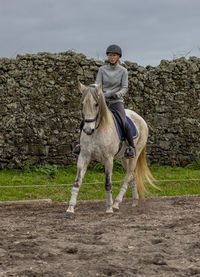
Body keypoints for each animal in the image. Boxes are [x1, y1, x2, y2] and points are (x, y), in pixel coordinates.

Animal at [66, 83, 159, 215]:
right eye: (82, 104)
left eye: (96, 104)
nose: (88, 130)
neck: (97, 130)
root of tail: (140, 117)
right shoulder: (84, 156)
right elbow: (77, 181)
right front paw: (70, 208)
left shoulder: (108, 159)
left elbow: (108, 184)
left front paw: (109, 208)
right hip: (125, 158)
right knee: (133, 175)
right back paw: (134, 201)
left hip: (134, 155)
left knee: (128, 176)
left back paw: (116, 203)